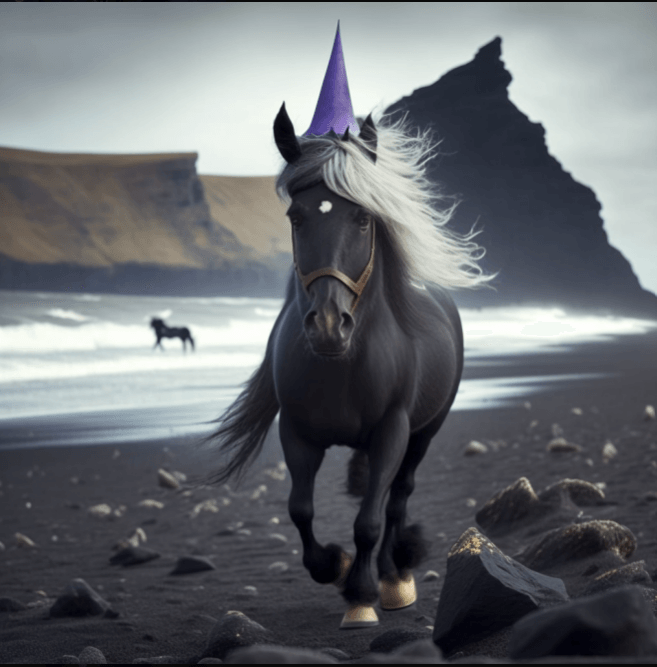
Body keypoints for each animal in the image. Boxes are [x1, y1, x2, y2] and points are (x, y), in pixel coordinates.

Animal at [206, 104, 492, 629]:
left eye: (363, 217)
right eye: (296, 217)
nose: (327, 327)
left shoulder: (392, 432)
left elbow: (370, 520)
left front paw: (360, 593)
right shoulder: (296, 433)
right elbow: (300, 510)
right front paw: (333, 566)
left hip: (424, 433)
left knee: (398, 497)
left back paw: (394, 576)